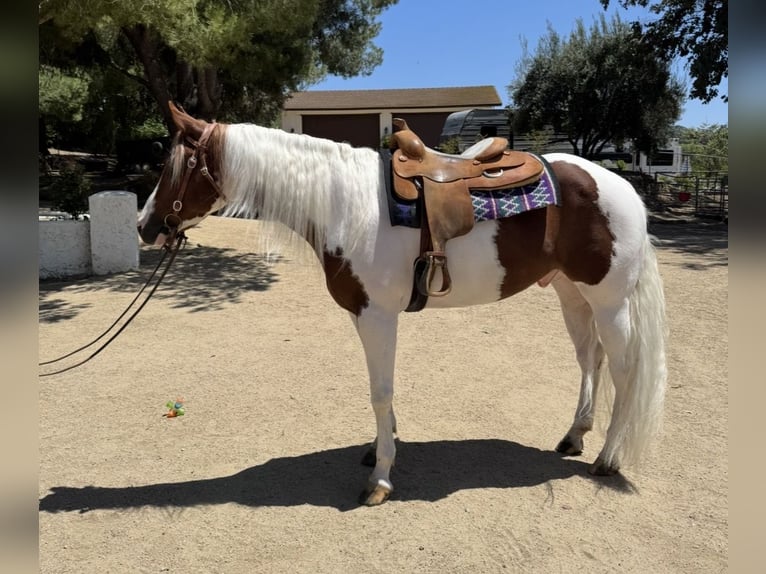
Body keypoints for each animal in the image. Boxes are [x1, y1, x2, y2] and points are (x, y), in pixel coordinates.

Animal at [138, 103, 667, 506]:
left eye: (176, 166)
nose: (146, 227)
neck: (344, 206)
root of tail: (623, 188)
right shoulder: (366, 316)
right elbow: (380, 392)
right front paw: (381, 448)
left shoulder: (378, 316)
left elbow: (380, 391)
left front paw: (380, 481)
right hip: (571, 293)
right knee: (590, 358)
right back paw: (575, 435)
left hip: (610, 300)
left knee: (625, 370)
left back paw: (607, 459)